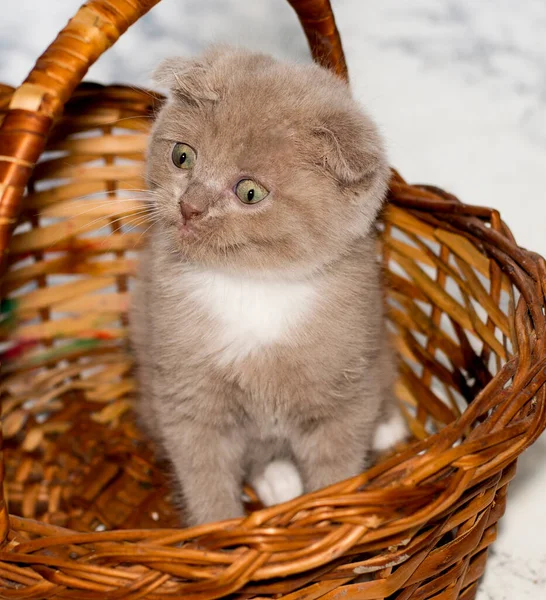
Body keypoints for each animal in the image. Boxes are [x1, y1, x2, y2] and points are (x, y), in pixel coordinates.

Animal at [131, 47, 404, 524]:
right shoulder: (187, 396)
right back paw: (278, 479)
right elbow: (205, 477)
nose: (189, 206)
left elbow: (336, 472)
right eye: (182, 157)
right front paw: (217, 531)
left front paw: (330, 519)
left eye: (250, 193)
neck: (252, 288)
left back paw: (387, 426)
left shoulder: (342, 395)